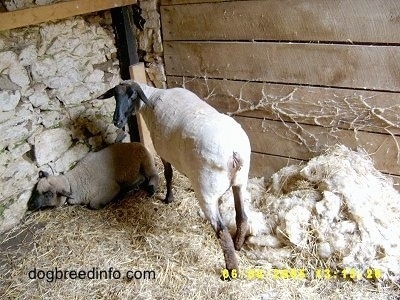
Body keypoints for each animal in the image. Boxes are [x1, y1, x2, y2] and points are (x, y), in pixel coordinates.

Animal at [27, 143, 159, 211]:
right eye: (36, 190)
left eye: (48, 194)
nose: (31, 205)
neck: (73, 182)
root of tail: (138, 143)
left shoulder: (111, 188)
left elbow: (94, 204)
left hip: (146, 160)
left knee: (153, 175)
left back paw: (150, 187)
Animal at [98, 81, 252, 276]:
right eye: (115, 96)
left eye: (132, 95)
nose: (117, 121)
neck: (152, 100)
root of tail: (234, 152)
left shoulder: (163, 152)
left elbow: (168, 174)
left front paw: (168, 198)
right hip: (240, 182)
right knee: (242, 217)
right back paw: (239, 245)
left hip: (207, 191)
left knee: (222, 232)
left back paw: (231, 270)